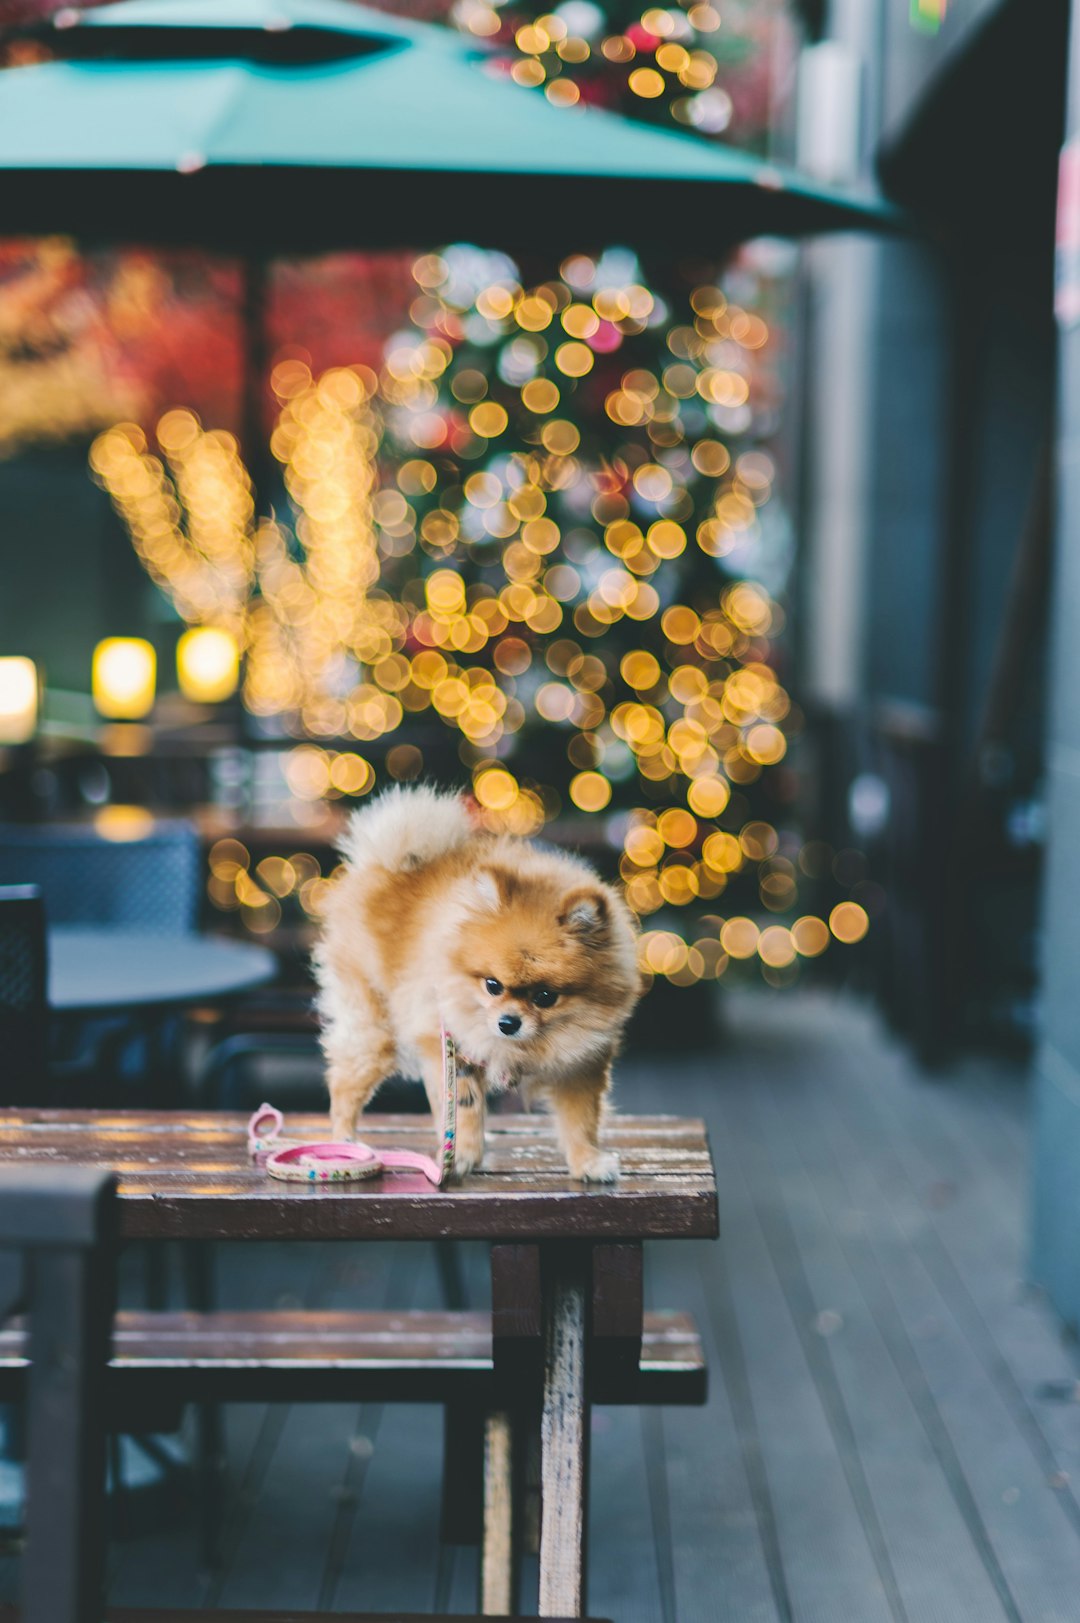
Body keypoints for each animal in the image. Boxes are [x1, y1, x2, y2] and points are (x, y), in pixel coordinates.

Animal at [311, 785, 639, 1181]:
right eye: (492, 985)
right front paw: (463, 1154)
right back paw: (345, 1142)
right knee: (344, 1084)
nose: (508, 1023)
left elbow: (581, 1120)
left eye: (545, 996)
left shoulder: (580, 1066)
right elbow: (465, 1106)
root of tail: (385, 863)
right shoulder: (453, 1046)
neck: (526, 1047)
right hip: (374, 1029)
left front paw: (588, 1161)